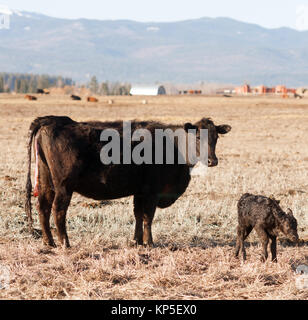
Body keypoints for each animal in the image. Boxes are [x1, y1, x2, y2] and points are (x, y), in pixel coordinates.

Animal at [24, 115, 231, 248]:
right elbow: (148, 217)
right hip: (63, 187)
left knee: (43, 207)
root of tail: (52, 120)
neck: (173, 146)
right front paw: (150, 242)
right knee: (58, 211)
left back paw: (49, 242)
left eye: (216, 137)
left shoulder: (139, 191)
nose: (213, 160)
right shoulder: (152, 192)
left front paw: (137, 241)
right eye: (198, 136)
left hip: (46, 182)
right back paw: (65, 243)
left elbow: (138, 215)